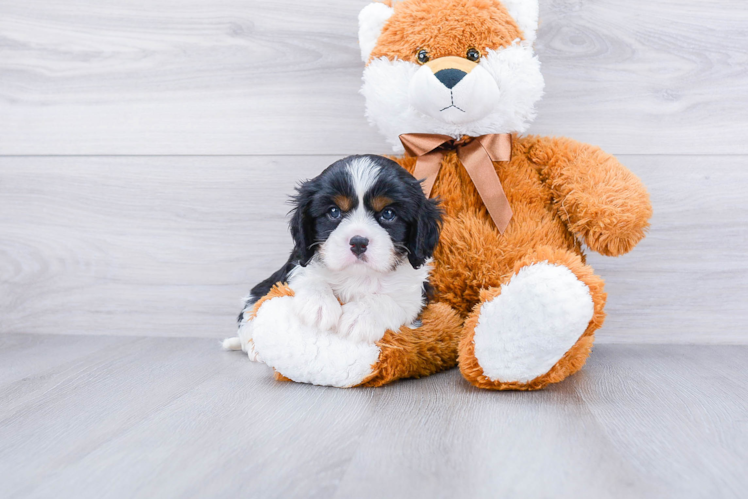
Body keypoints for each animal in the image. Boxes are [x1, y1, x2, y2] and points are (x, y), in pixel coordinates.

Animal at [225, 153, 442, 356]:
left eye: (388, 214)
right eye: (334, 212)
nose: (358, 242)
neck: (358, 276)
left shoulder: (413, 297)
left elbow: (389, 300)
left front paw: (359, 316)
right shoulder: (297, 266)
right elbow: (307, 279)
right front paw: (319, 304)